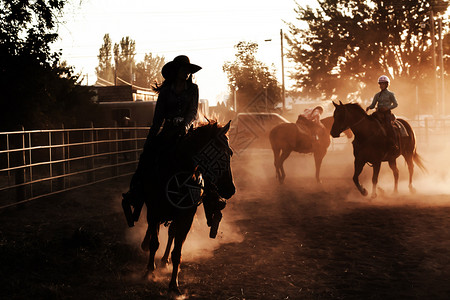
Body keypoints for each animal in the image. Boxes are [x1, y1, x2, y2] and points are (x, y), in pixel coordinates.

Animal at [137, 120, 236, 294]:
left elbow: (177, 251)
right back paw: (147, 247)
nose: (230, 189)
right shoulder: (154, 211)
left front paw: (174, 284)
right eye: (215, 153)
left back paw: (164, 259)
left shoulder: (186, 216)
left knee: (171, 233)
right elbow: (155, 242)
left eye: (229, 153)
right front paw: (149, 271)